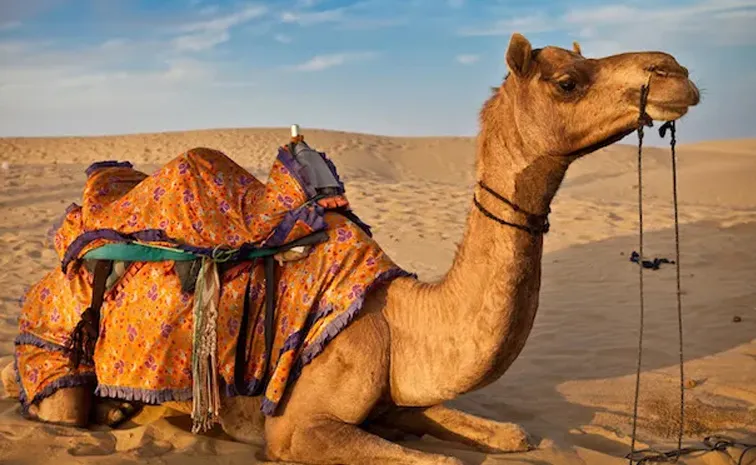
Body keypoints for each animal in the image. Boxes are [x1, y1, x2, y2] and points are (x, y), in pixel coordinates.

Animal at [2, 32, 700, 464]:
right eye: (566, 82)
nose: (677, 71)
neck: (399, 321)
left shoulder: (397, 396)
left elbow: (512, 433)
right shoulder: (297, 428)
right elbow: (440, 460)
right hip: (56, 356)